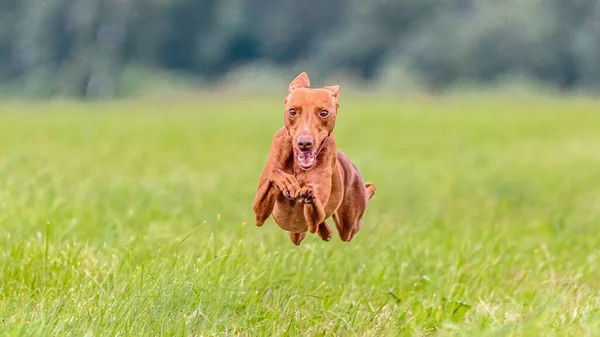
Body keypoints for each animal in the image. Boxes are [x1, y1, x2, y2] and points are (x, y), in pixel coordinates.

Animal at [250, 72, 372, 244]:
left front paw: (307, 193)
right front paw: (287, 182)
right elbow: (275, 174)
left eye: (324, 112)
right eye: (292, 111)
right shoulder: (259, 212)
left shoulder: (315, 213)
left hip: (349, 224)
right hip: (297, 233)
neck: (297, 167)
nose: (304, 143)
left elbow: (314, 205)